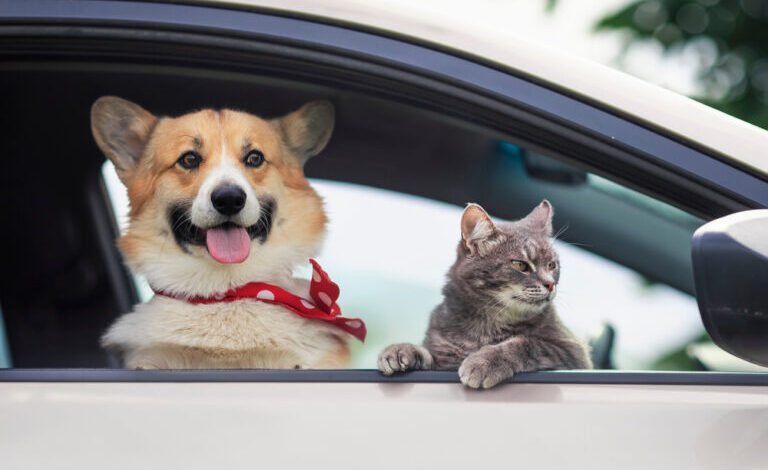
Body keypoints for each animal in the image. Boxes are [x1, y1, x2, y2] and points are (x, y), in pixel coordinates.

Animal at [380, 200, 592, 388]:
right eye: (520, 265)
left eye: (552, 265)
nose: (550, 284)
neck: (487, 323)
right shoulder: (442, 355)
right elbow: (428, 353)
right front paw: (402, 349)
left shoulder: (573, 352)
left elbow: (528, 343)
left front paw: (485, 362)